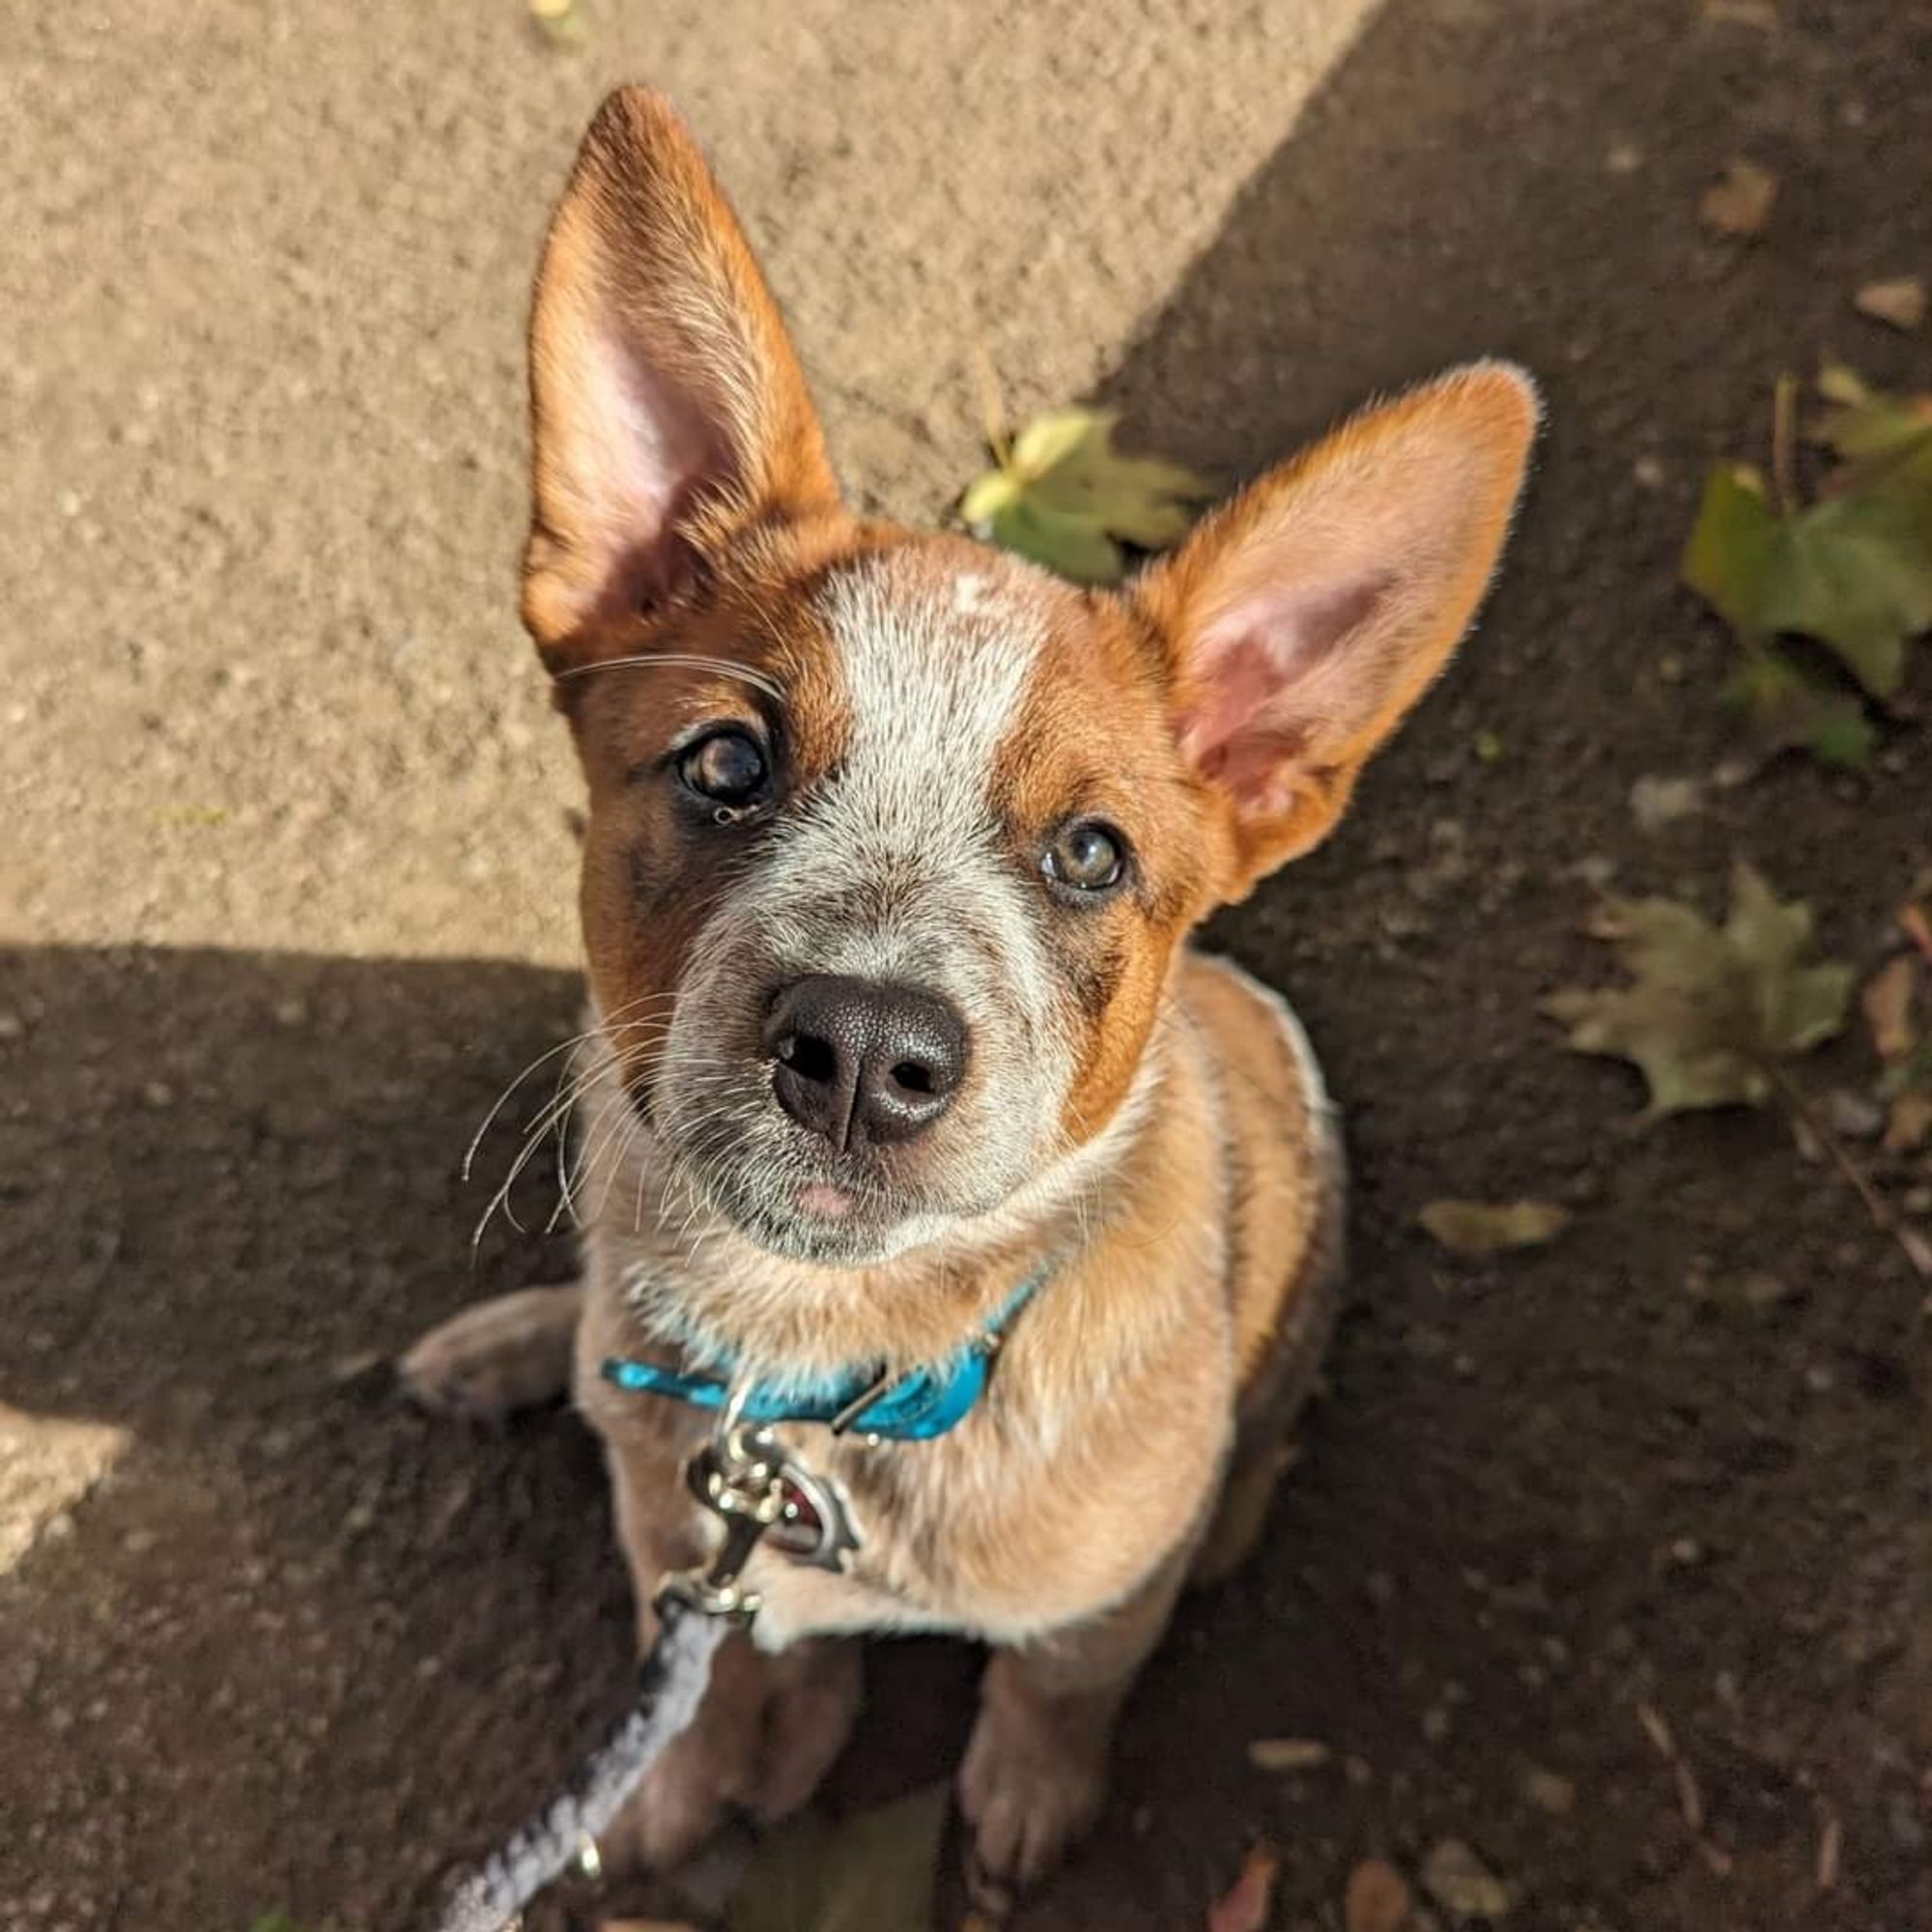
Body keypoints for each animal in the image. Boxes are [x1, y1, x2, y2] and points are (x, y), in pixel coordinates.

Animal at [408, 87, 1538, 1901]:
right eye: (725, 763)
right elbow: (700, 1672)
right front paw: (701, 1775)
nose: (866, 1050)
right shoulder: (682, 1540)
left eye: (1089, 853)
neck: (813, 1372)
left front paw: (1018, 1801)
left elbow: (1054, 1688)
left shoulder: (1091, 1608)